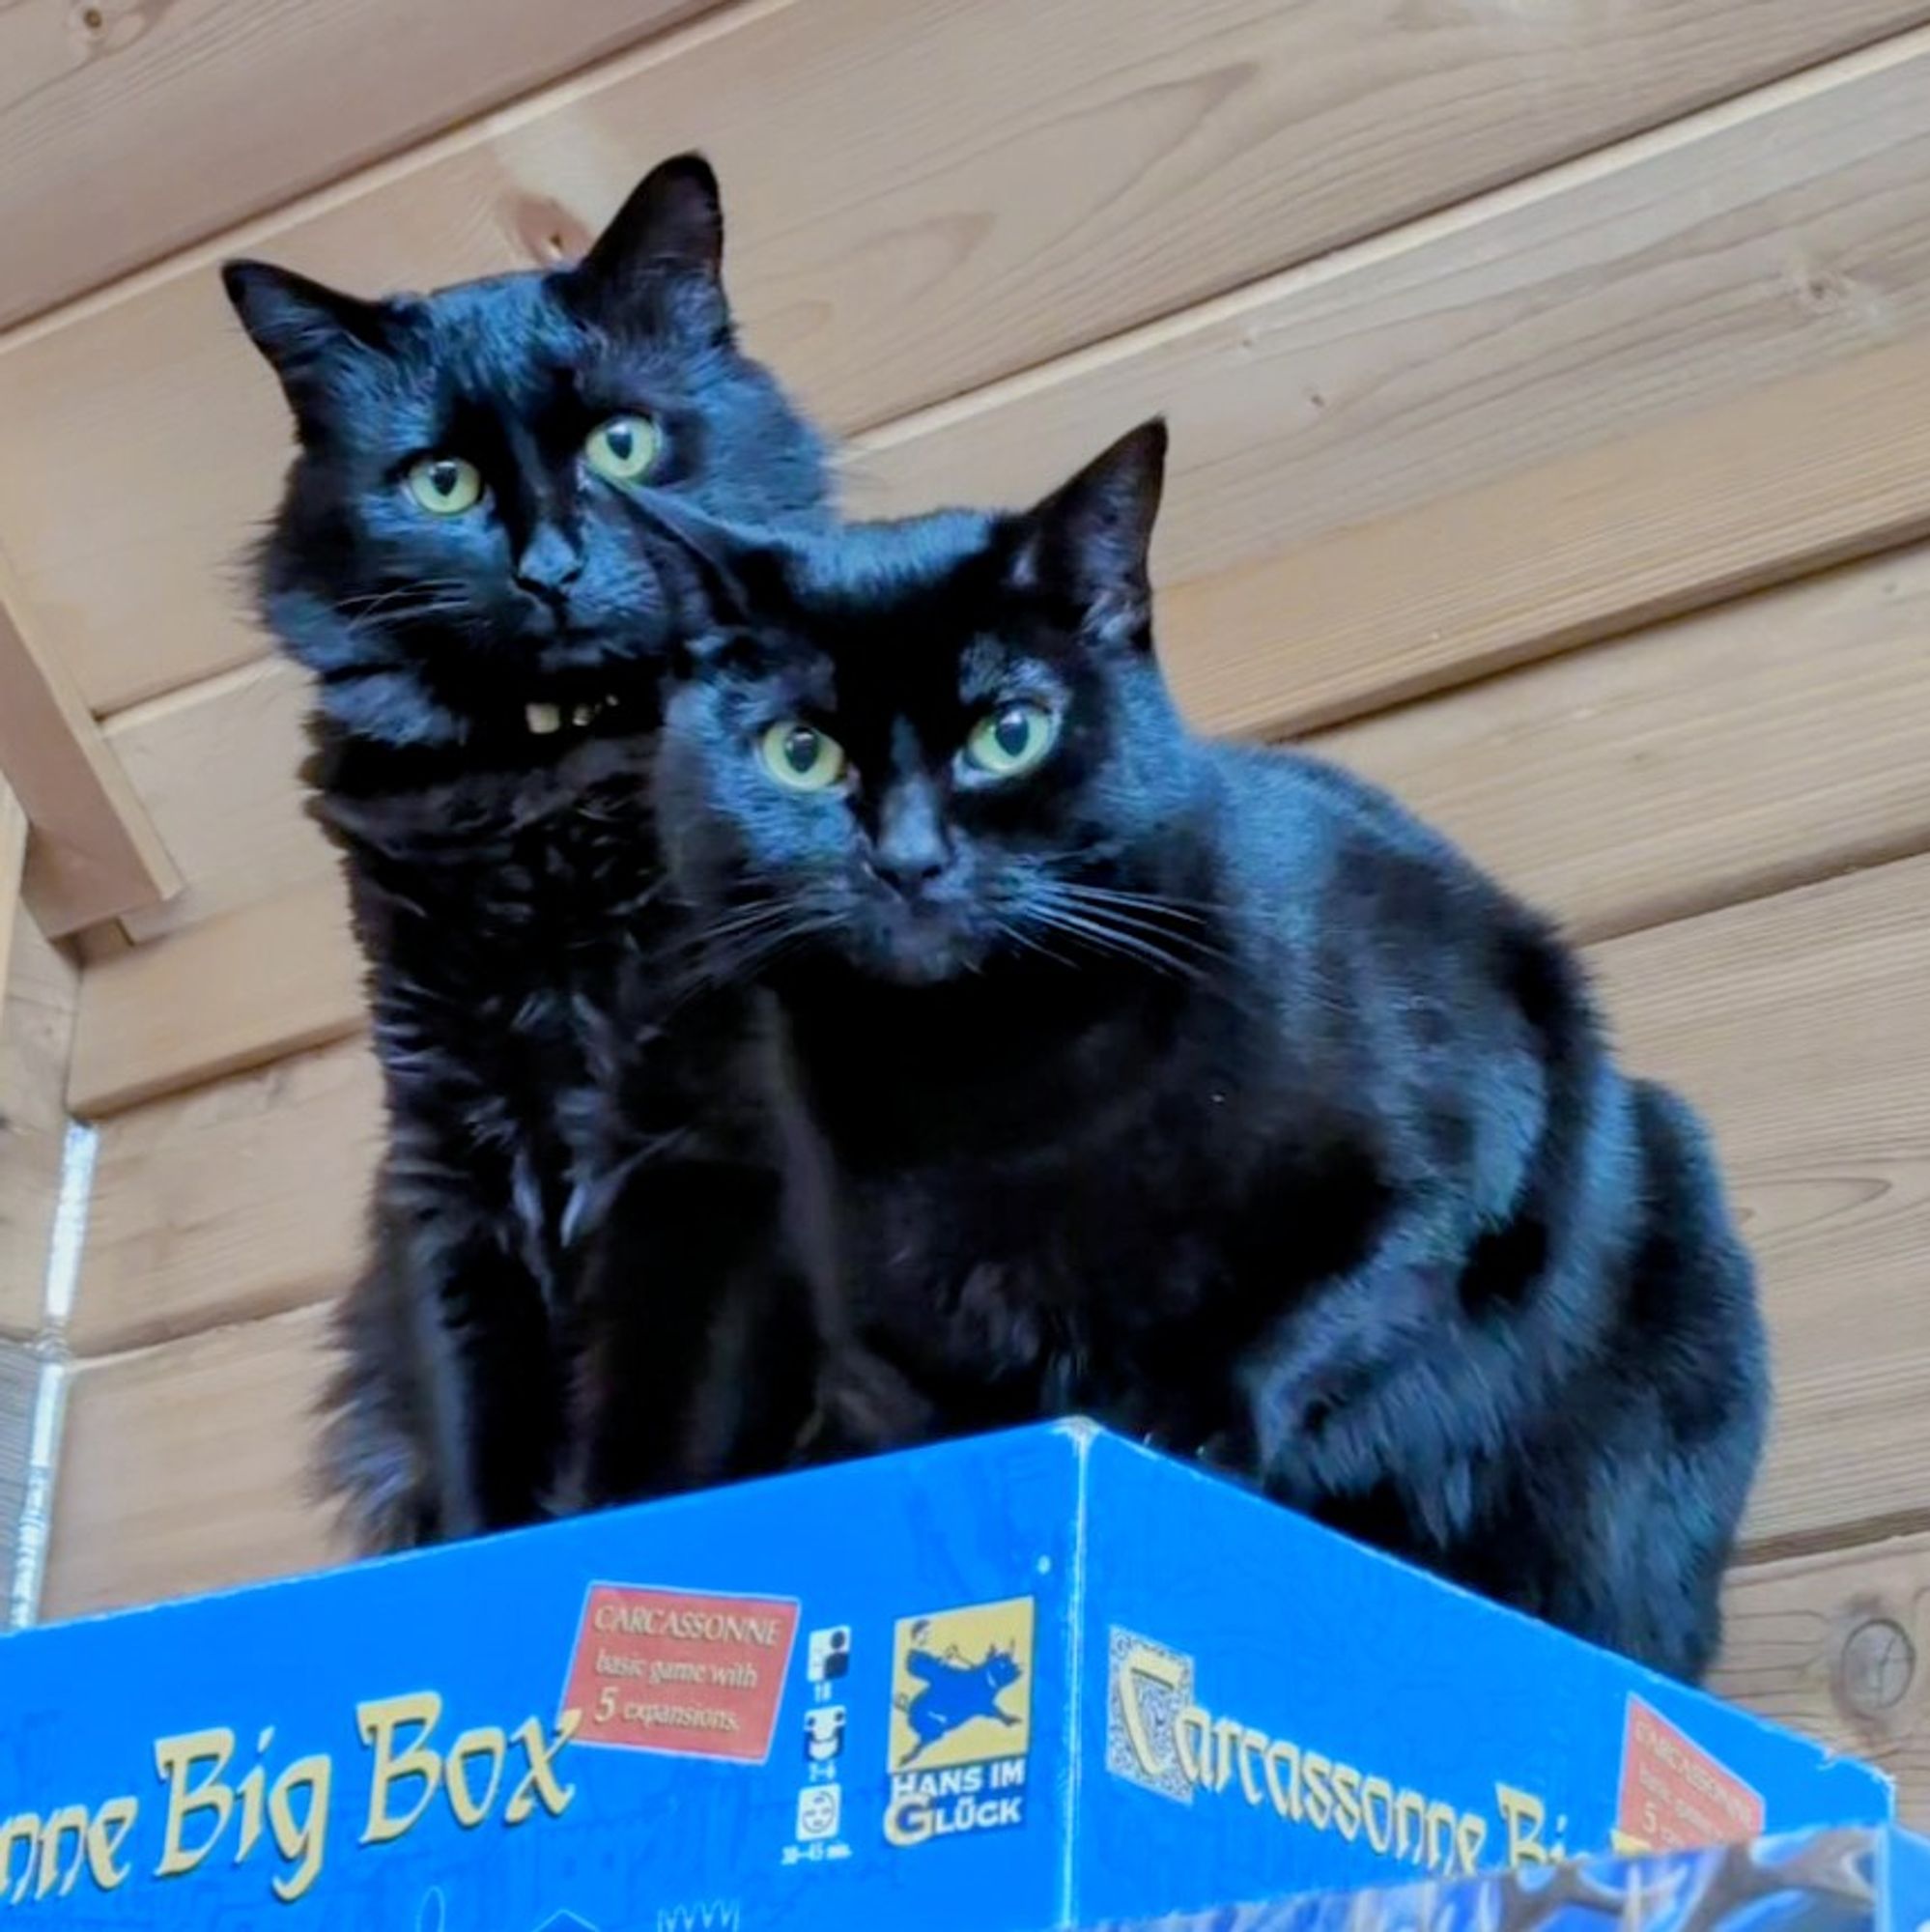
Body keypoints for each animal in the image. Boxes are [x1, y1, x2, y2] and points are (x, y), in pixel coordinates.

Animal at [226, 155, 831, 1553]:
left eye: (623, 443)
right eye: (442, 483)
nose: (550, 567)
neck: (553, 787)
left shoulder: (708, 1151)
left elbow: (652, 1452)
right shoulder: (449, 1155)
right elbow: (479, 1446)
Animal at [641, 427, 1770, 1677]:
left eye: (1009, 733)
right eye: (799, 751)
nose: (907, 858)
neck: (987, 1087)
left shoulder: (1459, 1138)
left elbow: (1337, 1292)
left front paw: (1181, 1426)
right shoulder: (890, 1342)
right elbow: (936, 1424)